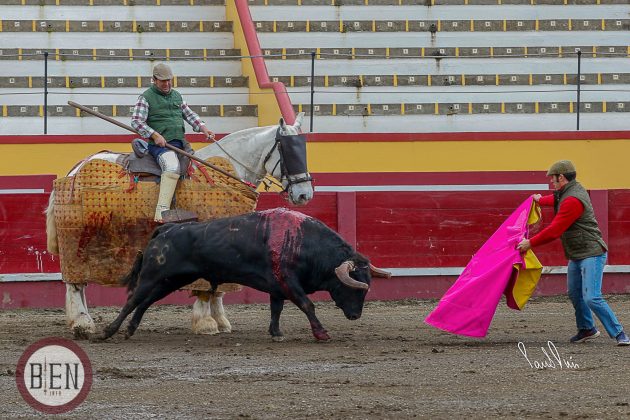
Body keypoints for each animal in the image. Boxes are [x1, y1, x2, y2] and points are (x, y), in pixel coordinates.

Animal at [45, 112, 314, 337]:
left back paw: (78, 321)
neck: (226, 174)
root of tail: (75, 169)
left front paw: (221, 321)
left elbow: (219, 286)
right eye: (288, 151)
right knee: (74, 282)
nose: (304, 194)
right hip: (77, 241)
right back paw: (82, 323)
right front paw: (205, 323)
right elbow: (206, 286)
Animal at [100, 208, 391, 342]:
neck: (303, 243)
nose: (355, 315)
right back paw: (107, 331)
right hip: (152, 276)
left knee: (146, 302)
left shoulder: (278, 287)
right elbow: (307, 305)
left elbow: (276, 308)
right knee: (133, 300)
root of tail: (166, 229)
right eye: (353, 286)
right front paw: (321, 333)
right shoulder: (289, 282)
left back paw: (130, 330)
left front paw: (276, 332)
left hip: (171, 281)